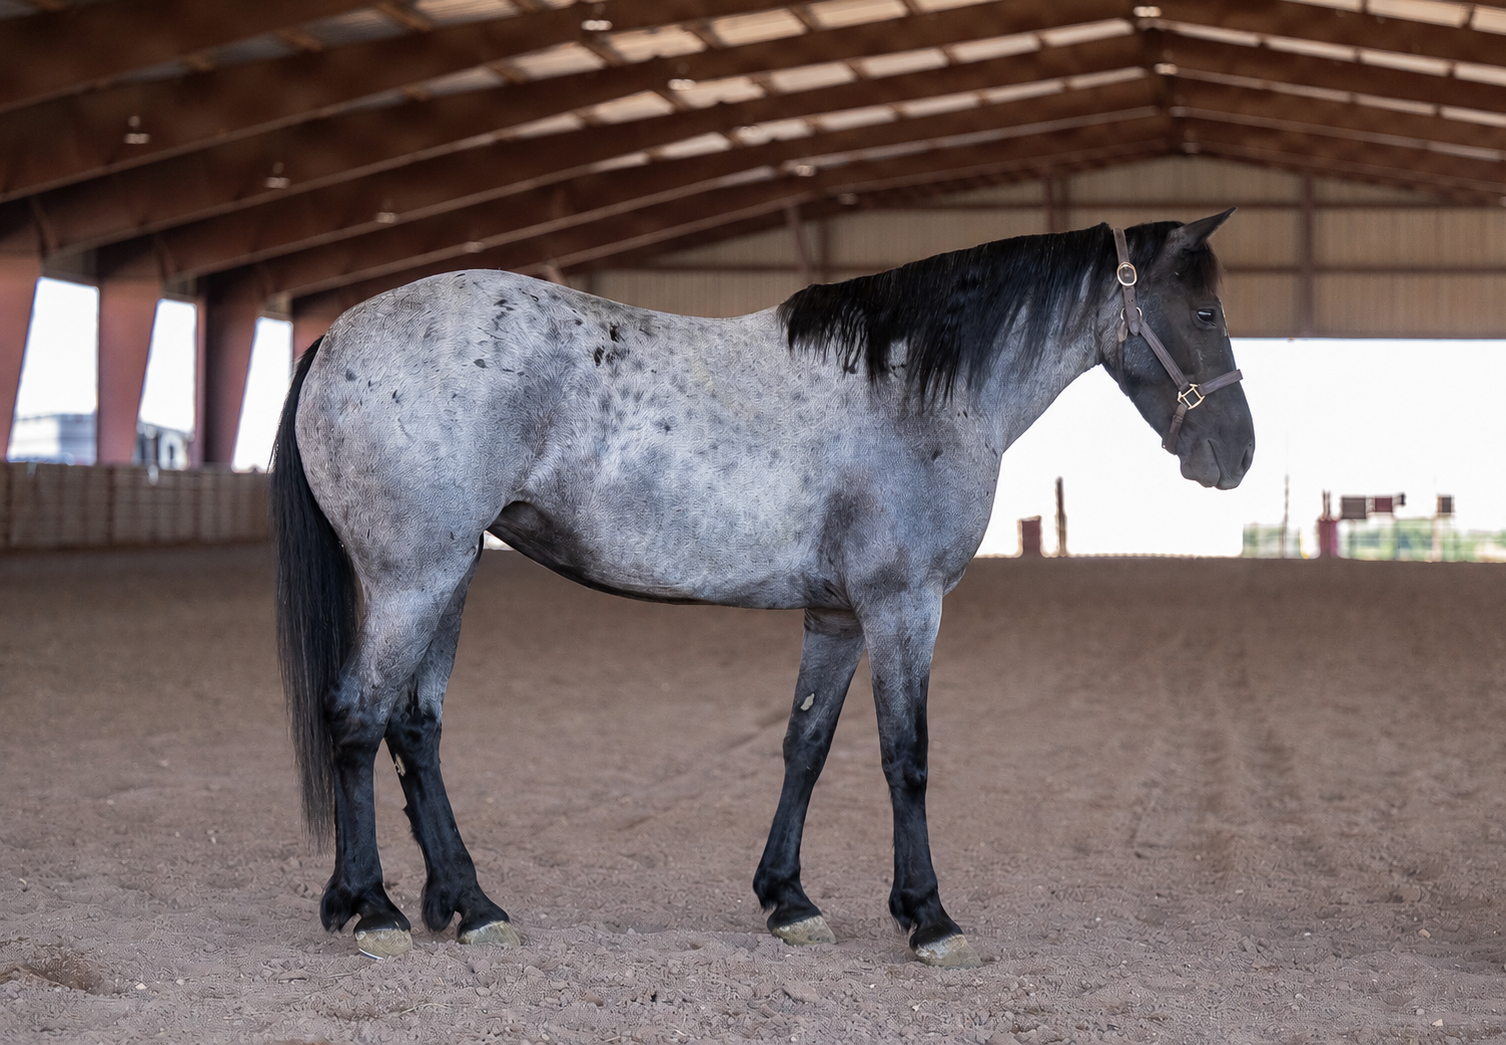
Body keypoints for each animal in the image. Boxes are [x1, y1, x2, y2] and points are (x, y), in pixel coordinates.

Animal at [270, 211, 1254, 968]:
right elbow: (907, 757)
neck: (912, 386)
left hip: (449, 575)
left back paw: (468, 905)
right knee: (358, 718)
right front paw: (929, 917)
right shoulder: (905, 606)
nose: (1235, 456)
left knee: (415, 729)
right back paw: (374, 907)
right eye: (1205, 310)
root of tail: (337, 336)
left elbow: (805, 746)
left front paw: (788, 899)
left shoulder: (839, 617)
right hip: (414, 578)